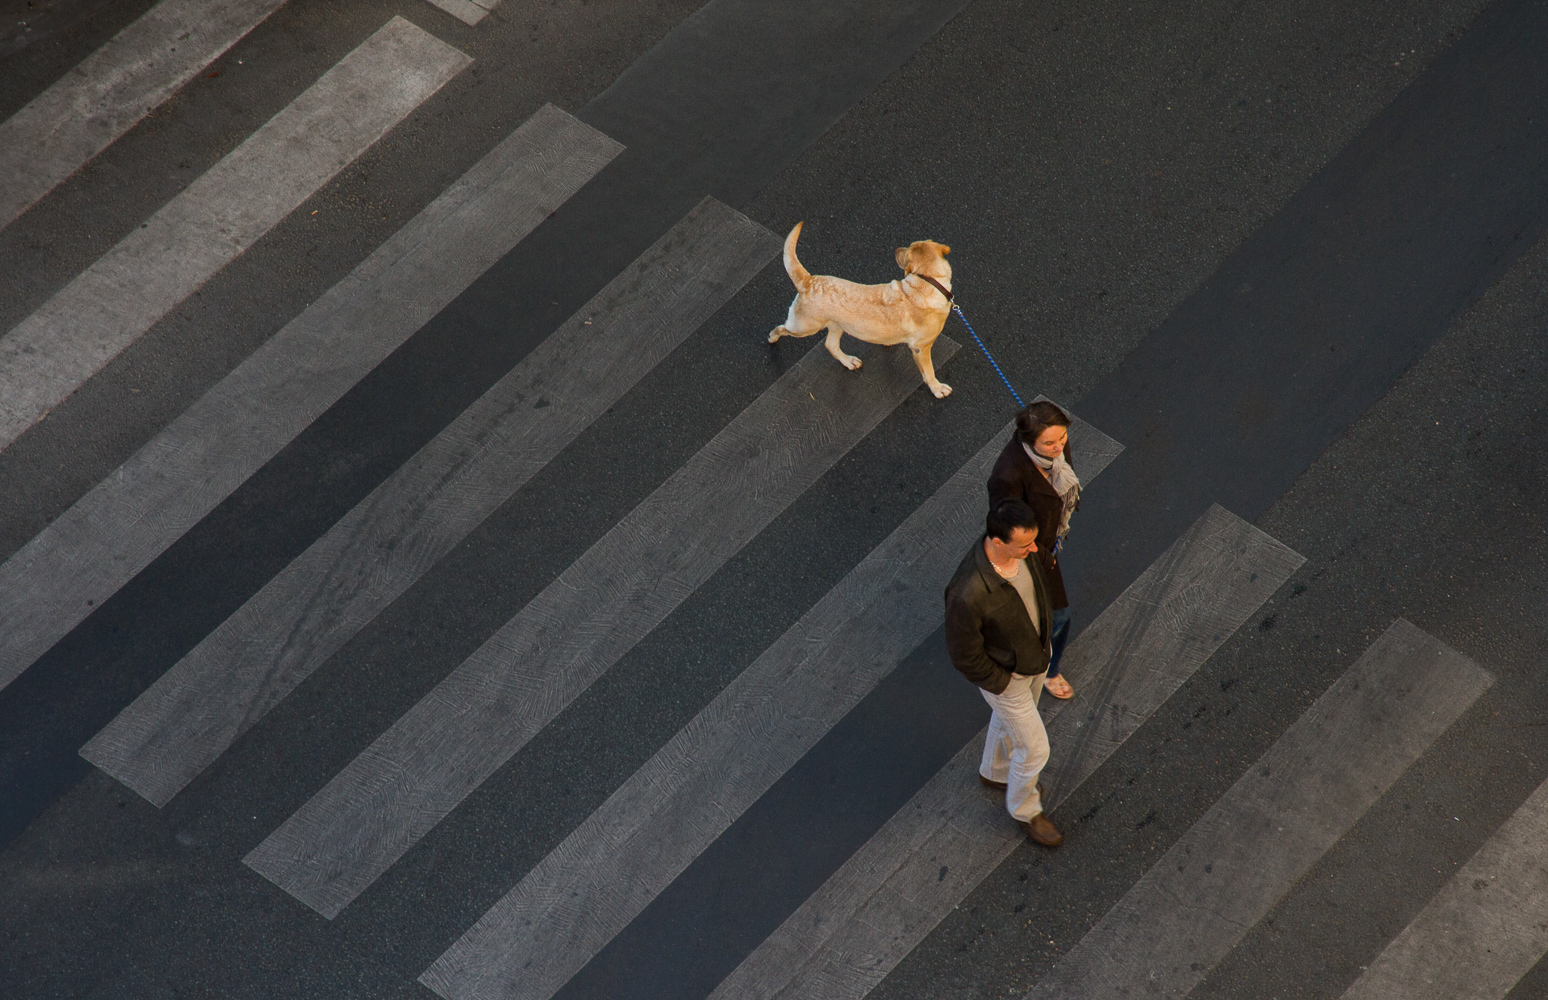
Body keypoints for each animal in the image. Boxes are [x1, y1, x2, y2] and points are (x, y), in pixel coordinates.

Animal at [764, 226, 947, 396]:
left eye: (908, 249)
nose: (896, 250)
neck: (927, 283)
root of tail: (808, 280)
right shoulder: (920, 348)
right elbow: (929, 371)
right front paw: (937, 388)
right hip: (804, 328)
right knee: (782, 328)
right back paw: (772, 337)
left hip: (837, 325)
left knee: (830, 345)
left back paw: (848, 361)